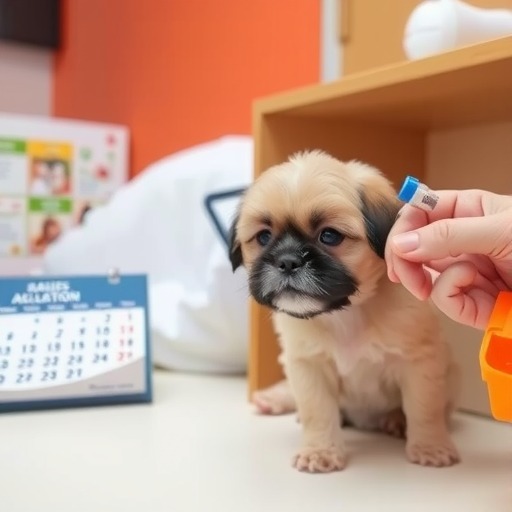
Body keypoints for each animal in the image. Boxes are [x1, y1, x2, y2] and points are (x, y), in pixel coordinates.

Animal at [229, 150, 460, 473]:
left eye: (329, 236)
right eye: (263, 237)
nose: (287, 260)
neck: (345, 314)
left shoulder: (419, 363)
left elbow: (425, 409)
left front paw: (430, 446)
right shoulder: (308, 364)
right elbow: (316, 411)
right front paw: (320, 451)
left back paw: (396, 421)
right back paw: (274, 399)